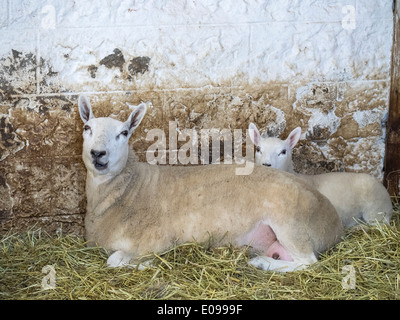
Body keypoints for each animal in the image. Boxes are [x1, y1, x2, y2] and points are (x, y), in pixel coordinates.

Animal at [79, 95, 344, 272]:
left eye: (124, 133)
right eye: (87, 127)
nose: (98, 153)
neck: (129, 190)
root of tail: (335, 223)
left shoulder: (157, 240)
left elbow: (113, 260)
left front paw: (147, 265)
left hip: (291, 224)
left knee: (309, 263)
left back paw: (260, 262)